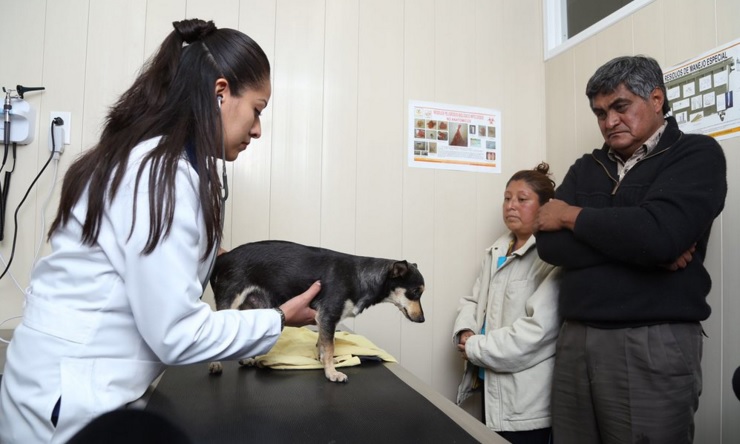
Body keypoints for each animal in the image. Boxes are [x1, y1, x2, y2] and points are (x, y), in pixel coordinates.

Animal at [208, 239, 428, 382]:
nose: (423, 320)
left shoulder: (326, 322)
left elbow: (323, 346)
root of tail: (224, 258)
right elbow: (329, 348)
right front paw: (332, 373)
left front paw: (324, 365)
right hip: (230, 301)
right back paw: (215, 364)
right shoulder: (328, 316)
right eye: (415, 292)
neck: (360, 277)